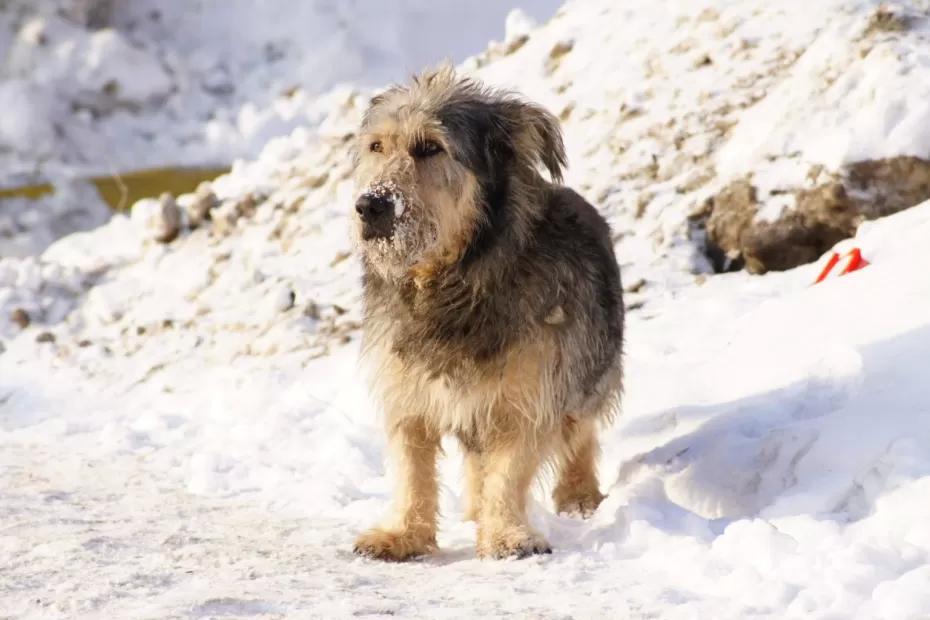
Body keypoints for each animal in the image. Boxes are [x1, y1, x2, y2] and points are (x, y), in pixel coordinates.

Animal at [352, 68, 620, 560]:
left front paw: (507, 535)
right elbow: (411, 469)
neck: (453, 282)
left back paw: (578, 497)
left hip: (589, 370)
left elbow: (509, 470)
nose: (370, 205)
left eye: (430, 147)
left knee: (581, 431)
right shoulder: (408, 393)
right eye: (377, 146)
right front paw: (404, 534)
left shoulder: (531, 393)